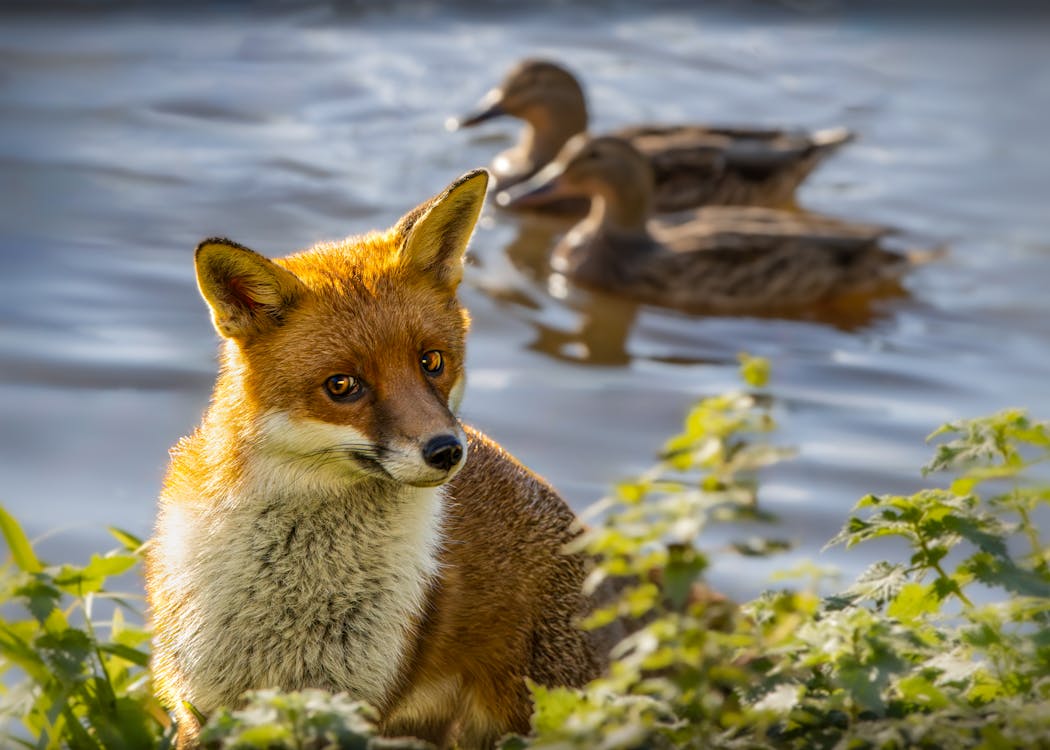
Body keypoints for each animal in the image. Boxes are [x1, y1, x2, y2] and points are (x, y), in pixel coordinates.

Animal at [143, 169, 613, 747]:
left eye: (432, 361)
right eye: (343, 385)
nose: (446, 450)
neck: (293, 597)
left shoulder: (348, 705)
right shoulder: (201, 706)